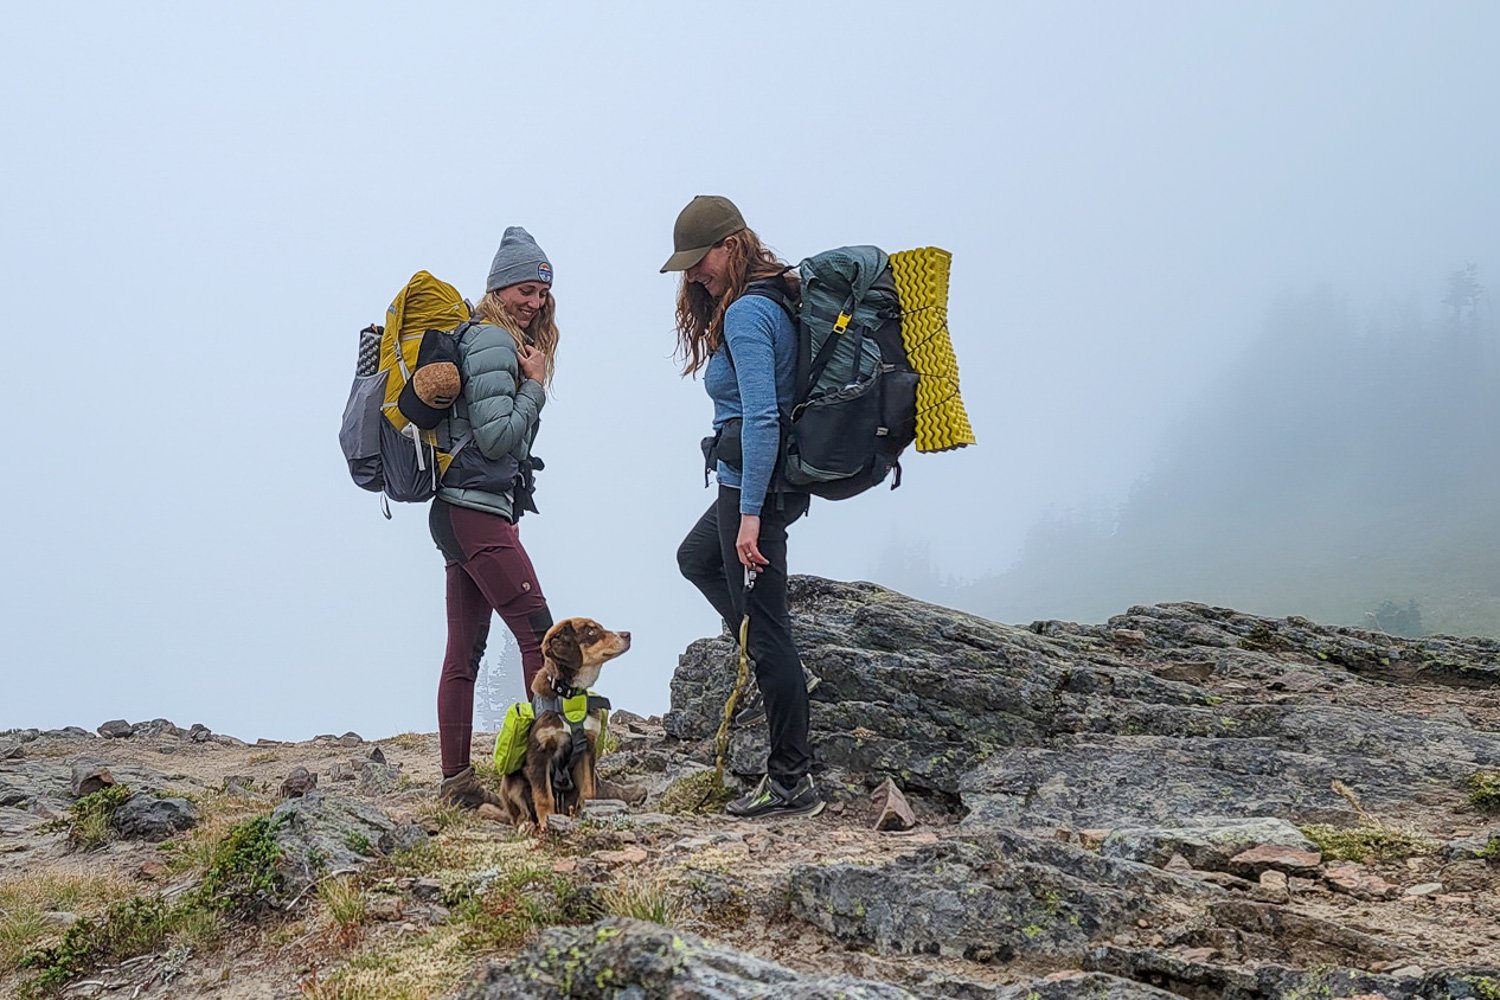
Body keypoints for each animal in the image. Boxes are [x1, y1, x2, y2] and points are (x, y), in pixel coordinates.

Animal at [495, 617, 630, 827]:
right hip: (512, 780)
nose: (628, 635)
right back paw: (526, 825)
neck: (568, 696)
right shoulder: (539, 753)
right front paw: (546, 824)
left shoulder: (588, 748)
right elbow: (543, 797)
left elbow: (588, 790)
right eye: (591, 632)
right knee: (518, 812)